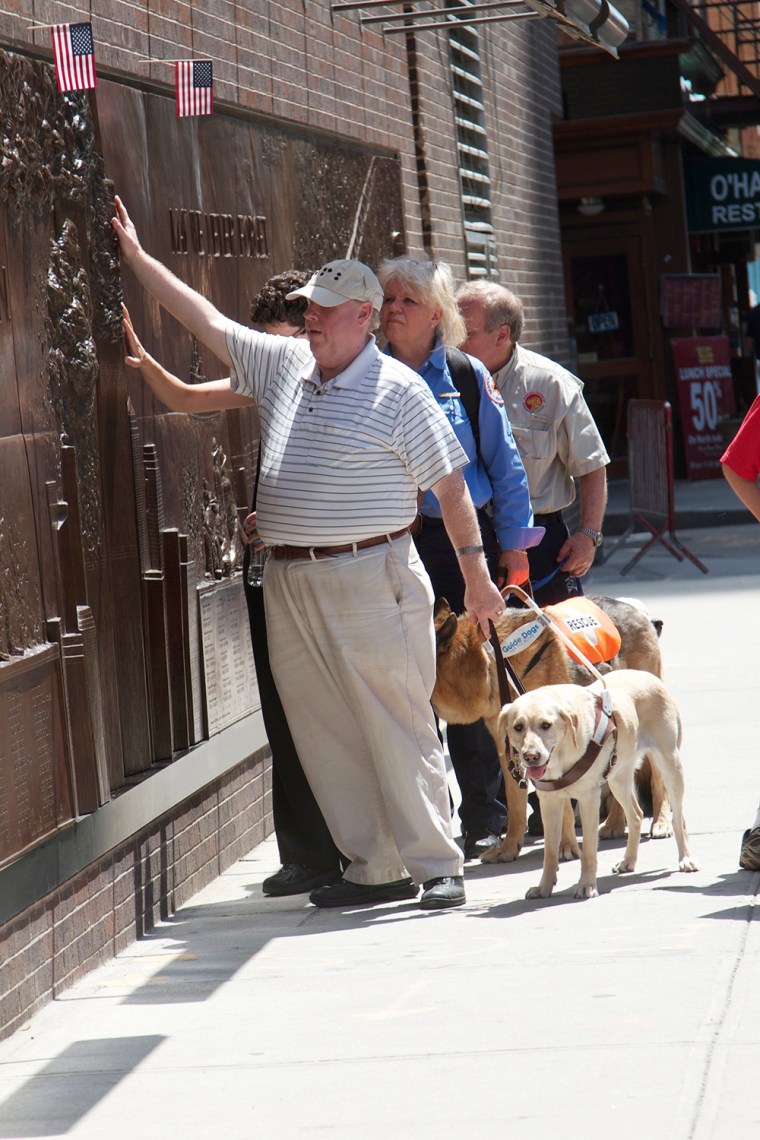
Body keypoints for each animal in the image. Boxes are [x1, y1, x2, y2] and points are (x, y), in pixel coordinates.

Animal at [432, 597, 669, 861]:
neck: (491, 660)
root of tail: (636, 610)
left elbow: (563, 803)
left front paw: (566, 846)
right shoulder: (511, 751)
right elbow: (515, 805)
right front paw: (509, 848)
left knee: (658, 779)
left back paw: (661, 822)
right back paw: (615, 823)